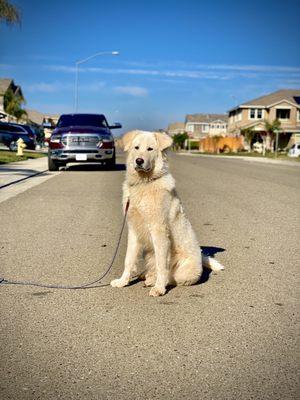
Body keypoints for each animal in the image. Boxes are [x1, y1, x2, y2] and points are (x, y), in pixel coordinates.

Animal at [110, 131, 223, 296]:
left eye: (150, 149)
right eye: (136, 147)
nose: (139, 161)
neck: (144, 183)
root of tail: (201, 259)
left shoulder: (159, 231)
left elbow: (162, 265)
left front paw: (159, 288)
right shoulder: (133, 230)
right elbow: (129, 260)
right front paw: (122, 281)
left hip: (183, 271)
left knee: (171, 276)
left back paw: (153, 281)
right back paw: (146, 276)